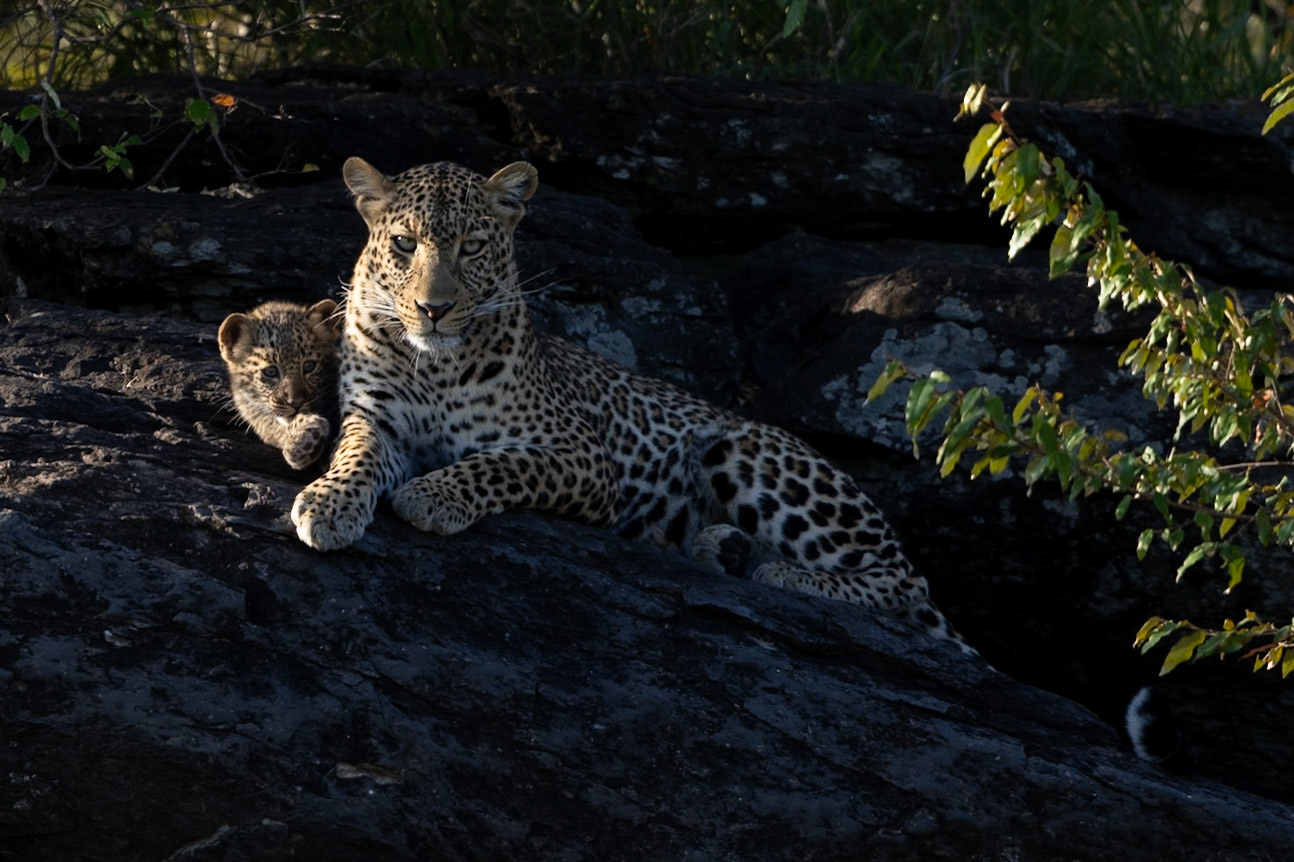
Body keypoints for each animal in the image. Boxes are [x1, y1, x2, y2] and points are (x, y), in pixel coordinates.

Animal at [291, 157, 966, 648]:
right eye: (405, 245)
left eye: (472, 248)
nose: (434, 308)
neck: (432, 362)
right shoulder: (375, 419)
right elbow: (354, 455)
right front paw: (328, 505)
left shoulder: (581, 456)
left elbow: (497, 464)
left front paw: (431, 496)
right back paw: (724, 550)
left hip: (746, 450)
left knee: (908, 585)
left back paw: (781, 572)